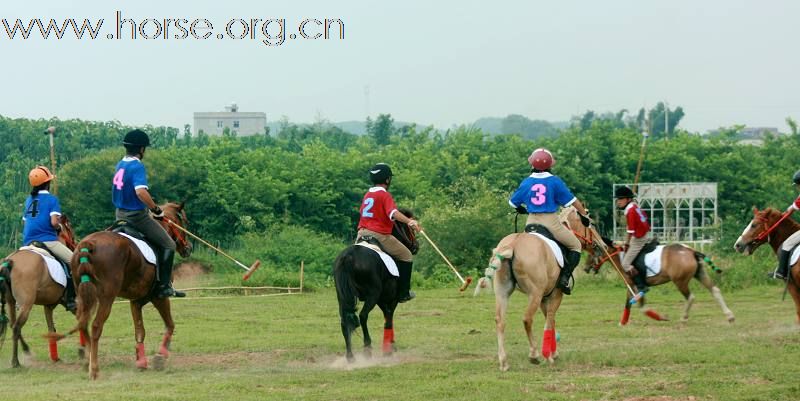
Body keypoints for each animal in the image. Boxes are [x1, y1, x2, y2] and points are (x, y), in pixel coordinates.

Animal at [0, 214, 83, 368]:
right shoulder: (75, 303)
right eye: (70, 228)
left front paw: (55, 357)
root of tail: (10, 261)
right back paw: (16, 361)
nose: (75, 245)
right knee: (16, 327)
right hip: (26, 303)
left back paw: (25, 351)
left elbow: (51, 330)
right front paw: (83, 350)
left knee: (13, 324)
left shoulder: (48, 306)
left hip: (10, 302)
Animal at [69, 202, 192, 380]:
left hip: (83, 293)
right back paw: (94, 369)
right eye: (184, 222)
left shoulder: (136, 300)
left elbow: (140, 331)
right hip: (107, 297)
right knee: (96, 326)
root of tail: (88, 245)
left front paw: (141, 362)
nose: (188, 248)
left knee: (83, 323)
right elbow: (170, 325)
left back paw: (87, 362)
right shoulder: (158, 297)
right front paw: (160, 357)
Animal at [332, 214, 418, 360]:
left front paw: (390, 346)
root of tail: (348, 257)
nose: (416, 246)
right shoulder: (391, 298)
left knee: (345, 321)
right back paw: (367, 348)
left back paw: (350, 356)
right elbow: (389, 318)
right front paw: (389, 348)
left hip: (343, 296)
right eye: (409, 228)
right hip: (372, 294)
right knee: (363, 316)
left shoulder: (381, 299)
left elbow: (387, 316)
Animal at [484, 231, 564, 372]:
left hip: (502, 293)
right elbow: (550, 322)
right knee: (527, 319)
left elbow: (550, 320)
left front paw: (553, 353)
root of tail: (513, 243)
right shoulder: (555, 295)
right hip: (535, 294)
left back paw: (503, 362)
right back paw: (534, 354)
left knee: (500, 321)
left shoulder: (544, 299)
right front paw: (550, 355)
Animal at [560, 205, 736, 324]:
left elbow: (641, 305)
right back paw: (729, 316)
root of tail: (692, 251)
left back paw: (684, 318)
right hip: (700, 273)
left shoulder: (634, 284)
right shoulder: (632, 286)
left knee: (691, 297)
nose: (586, 268)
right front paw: (622, 323)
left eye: (592, 251)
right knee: (715, 290)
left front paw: (659, 317)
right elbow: (629, 305)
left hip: (680, 280)